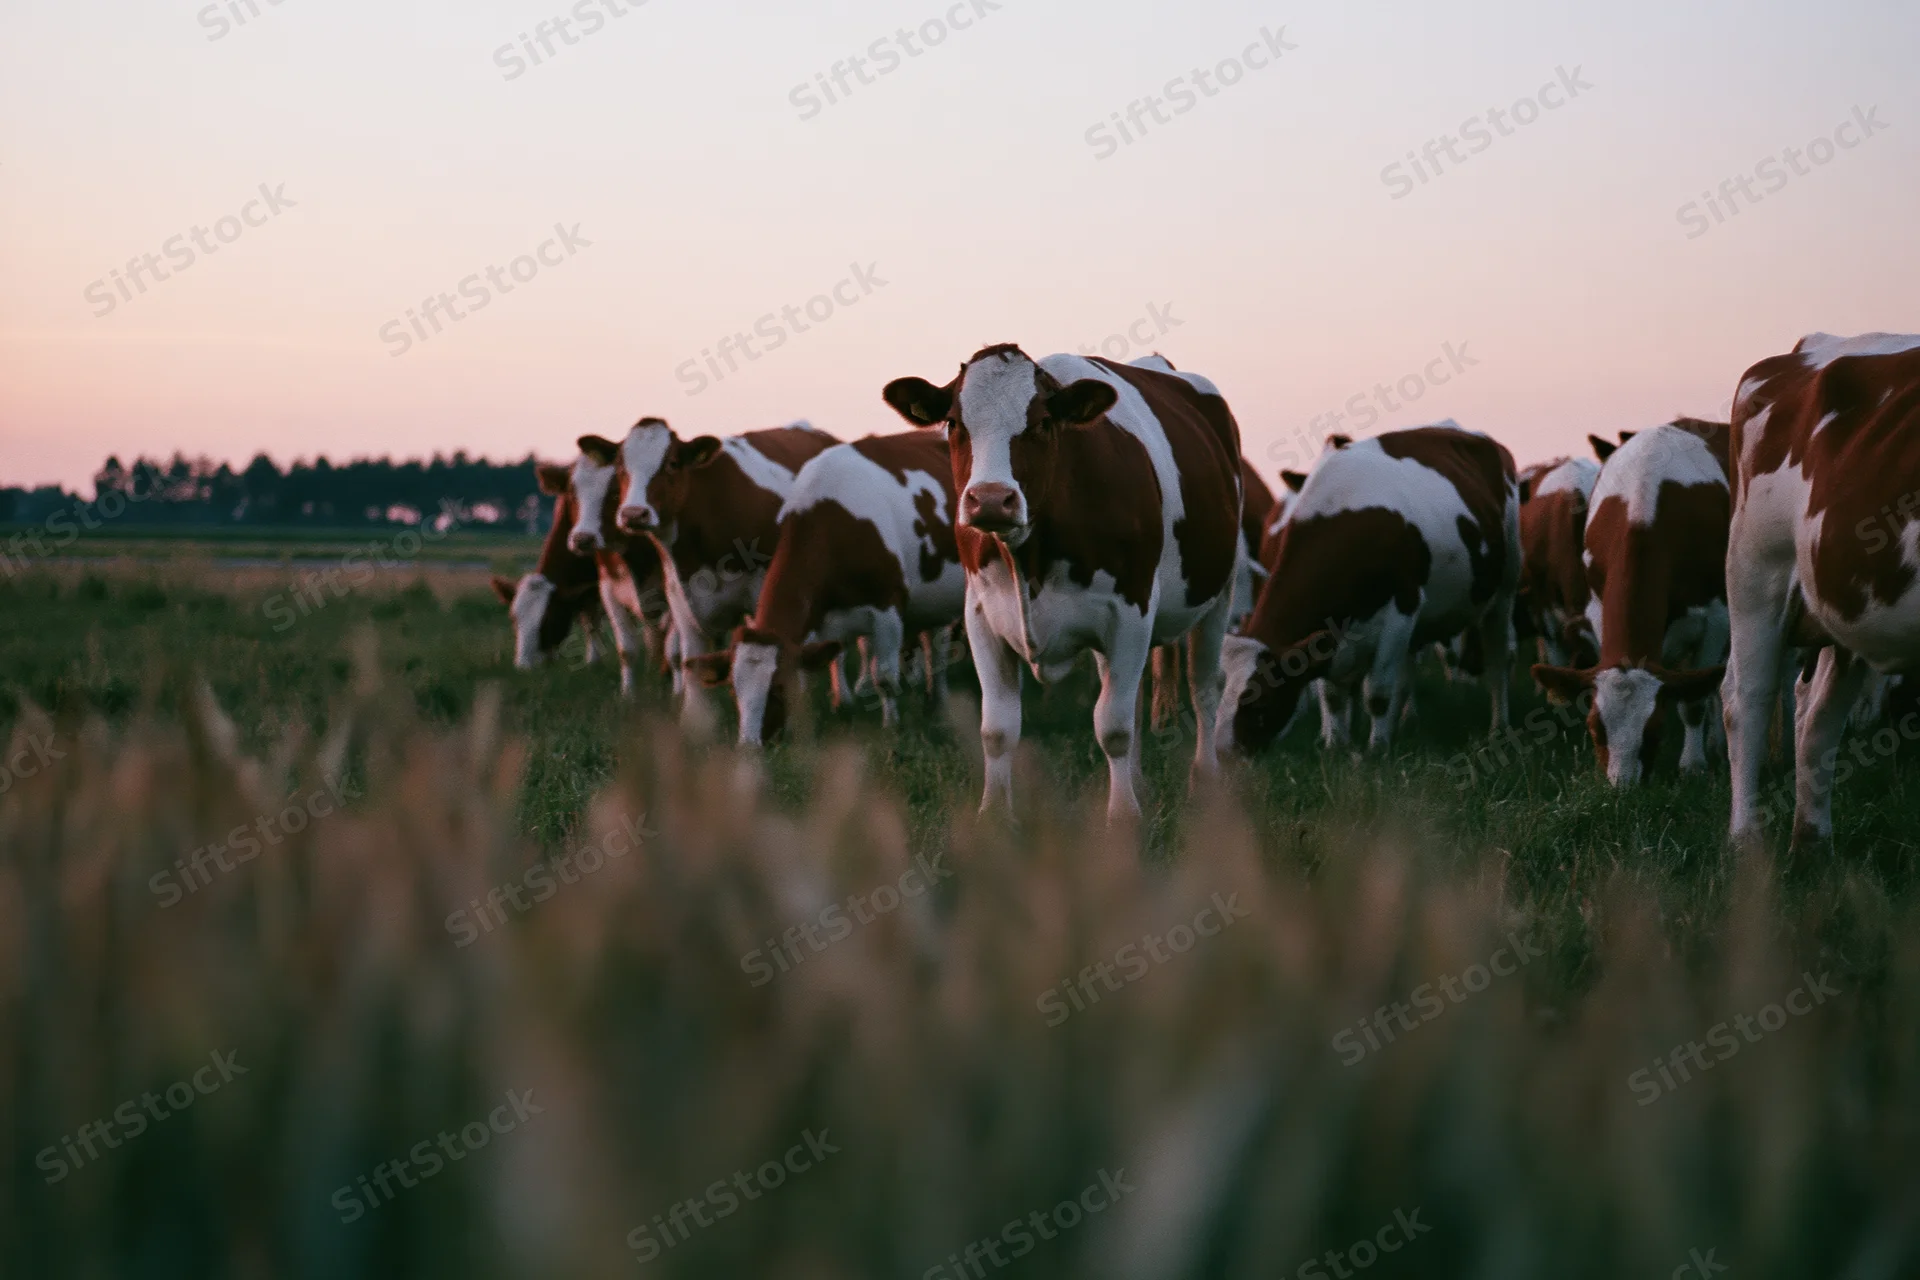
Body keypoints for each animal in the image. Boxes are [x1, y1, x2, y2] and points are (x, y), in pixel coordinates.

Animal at [684, 430, 967, 743]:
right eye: (734, 690)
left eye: (778, 687)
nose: (749, 746)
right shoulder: (816, 622)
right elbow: (815, 674)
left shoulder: (888, 606)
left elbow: (885, 677)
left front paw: (891, 727)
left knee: (937, 650)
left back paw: (938, 702)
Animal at [882, 345, 1243, 821]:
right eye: (955, 423)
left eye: (1041, 423)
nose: (991, 499)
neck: (1029, 560)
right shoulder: (981, 616)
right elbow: (997, 729)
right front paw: (993, 817)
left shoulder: (1131, 611)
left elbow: (1113, 728)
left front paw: (1122, 818)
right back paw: (1142, 785)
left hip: (1219, 591)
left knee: (1203, 686)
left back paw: (1205, 784)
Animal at [1217, 423, 1519, 757]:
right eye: (1222, 698)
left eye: (1259, 702)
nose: (1223, 754)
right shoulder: (1330, 637)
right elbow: (1333, 696)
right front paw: (1336, 746)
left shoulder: (1400, 610)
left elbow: (1377, 694)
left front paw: (1377, 751)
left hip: (1505, 588)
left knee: (1498, 659)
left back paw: (1498, 729)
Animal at [1531, 422, 1731, 785]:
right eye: (1596, 730)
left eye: (1654, 732)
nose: (1623, 788)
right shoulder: (1597, 611)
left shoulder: (1716, 618)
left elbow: (1695, 700)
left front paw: (1693, 765)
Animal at [1722, 332, 1920, 847]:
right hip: (1756, 572)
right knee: (1747, 698)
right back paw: (1745, 840)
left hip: (1843, 603)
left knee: (1817, 715)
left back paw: (1812, 844)